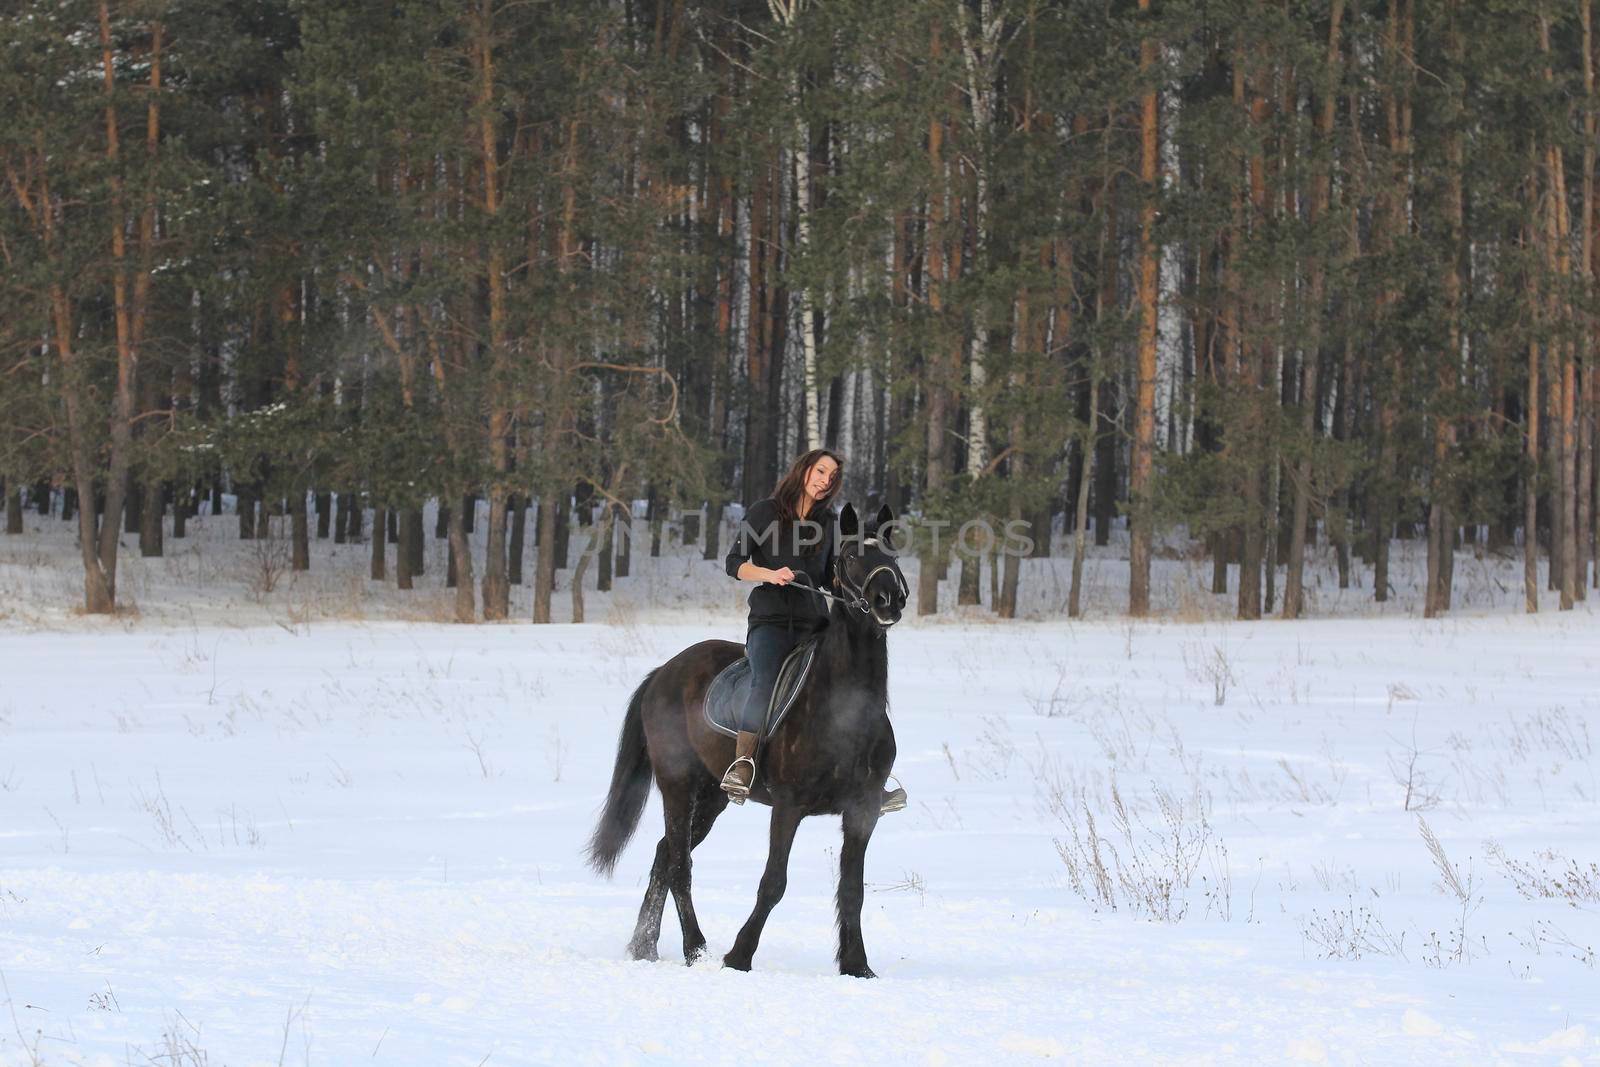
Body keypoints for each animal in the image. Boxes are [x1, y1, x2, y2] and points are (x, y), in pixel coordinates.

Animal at [592, 505, 915, 979]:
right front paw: (739, 957)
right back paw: (695, 949)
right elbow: (773, 883)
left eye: (894, 553)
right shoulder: (789, 806)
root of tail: (663, 672)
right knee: (679, 864)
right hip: (678, 786)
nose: (889, 599)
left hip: (712, 796)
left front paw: (857, 966)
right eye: (852, 555)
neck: (844, 712)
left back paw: (645, 946)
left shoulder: (863, 811)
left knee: (664, 854)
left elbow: (852, 889)